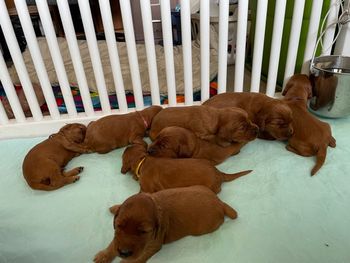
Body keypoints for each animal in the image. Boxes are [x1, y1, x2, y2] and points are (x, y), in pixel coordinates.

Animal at [93, 186, 238, 263]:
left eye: (143, 232)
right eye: (119, 226)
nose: (124, 253)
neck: (156, 204)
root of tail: (220, 202)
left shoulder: (154, 244)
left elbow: (139, 257)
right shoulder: (118, 237)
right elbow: (114, 242)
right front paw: (103, 255)